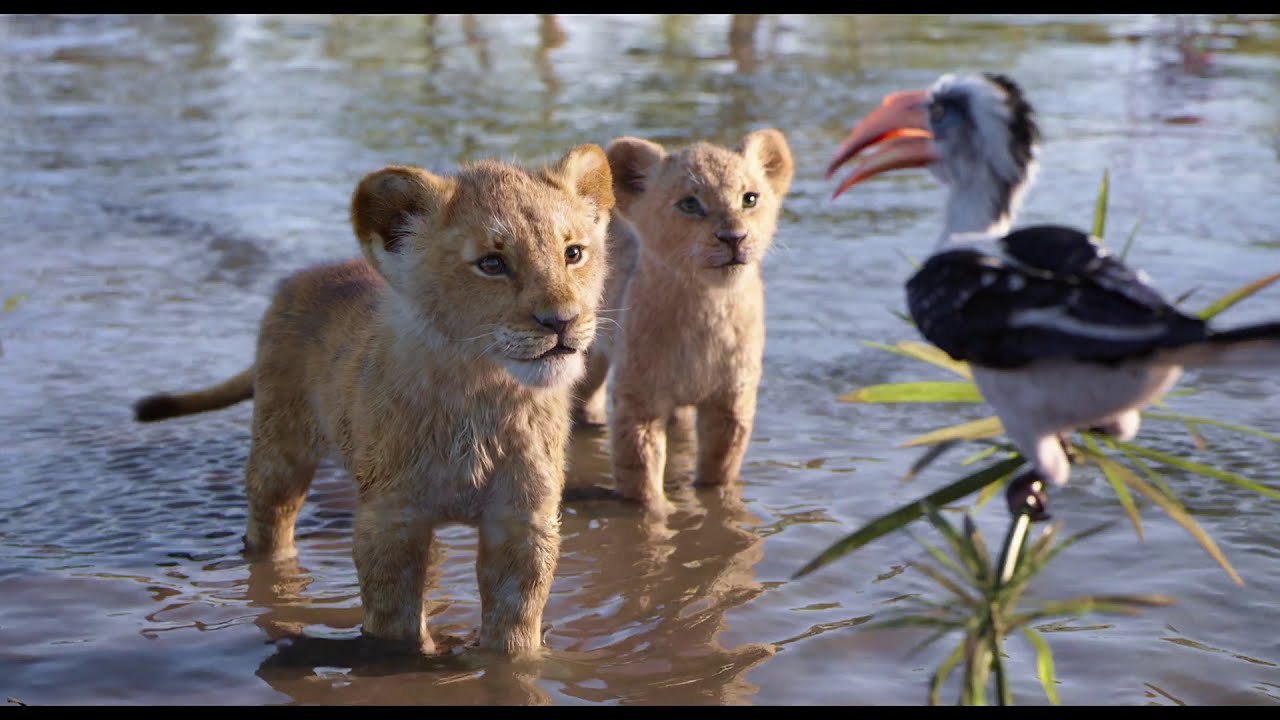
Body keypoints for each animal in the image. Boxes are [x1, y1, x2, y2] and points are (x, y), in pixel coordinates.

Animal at [132, 144, 615, 656]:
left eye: (573, 253)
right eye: (491, 263)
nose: (562, 321)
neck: (482, 393)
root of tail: (311, 272)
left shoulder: (522, 520)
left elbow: (514, 625)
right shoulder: (390, 518)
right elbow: (392, 621)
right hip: (279, 450)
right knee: (270, 520)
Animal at [572, 129, 795, 517]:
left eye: (749, 198)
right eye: (690, 204)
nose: (734, 238)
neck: (707, 308)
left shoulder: (731, 401)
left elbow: (721, 466)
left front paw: (719, 505)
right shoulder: (640, 400)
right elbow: (641, 471)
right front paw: (659, 515)